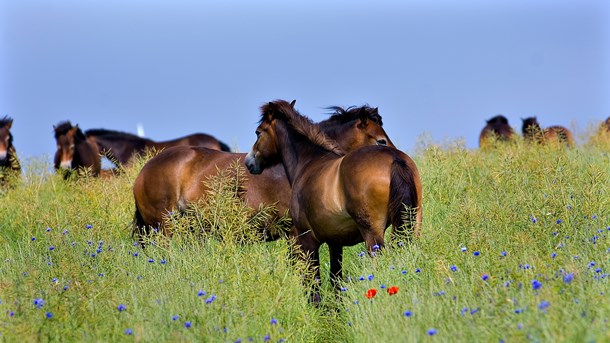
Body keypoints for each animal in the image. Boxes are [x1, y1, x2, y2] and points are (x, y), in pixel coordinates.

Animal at [245, 100, 420, 304]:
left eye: (258, 132)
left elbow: (313, 284)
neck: (308, 163)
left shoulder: (306, 241)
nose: (249, 162)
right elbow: (336, 280)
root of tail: (394, 159)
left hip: (373, 237)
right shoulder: (335, 243)